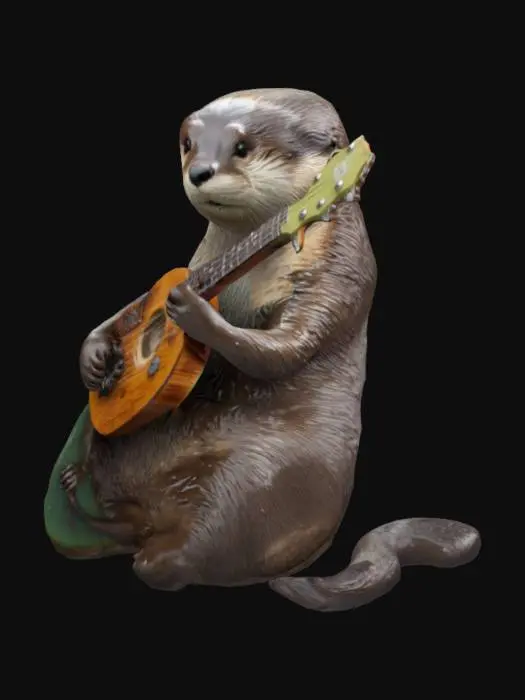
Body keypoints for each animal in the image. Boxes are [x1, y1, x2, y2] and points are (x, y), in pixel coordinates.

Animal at [58, 88, 481, 610]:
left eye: (242, 148)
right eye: (188, 145)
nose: (199, 171)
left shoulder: (340, 265)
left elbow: (289, 344)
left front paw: (194, 313)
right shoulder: (196, 262)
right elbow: (135, 305)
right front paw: (96, 355)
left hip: (254, 481)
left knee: (190, 548)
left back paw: (155, 551)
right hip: (120, 441)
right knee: (113, 475)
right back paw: (83, 493)